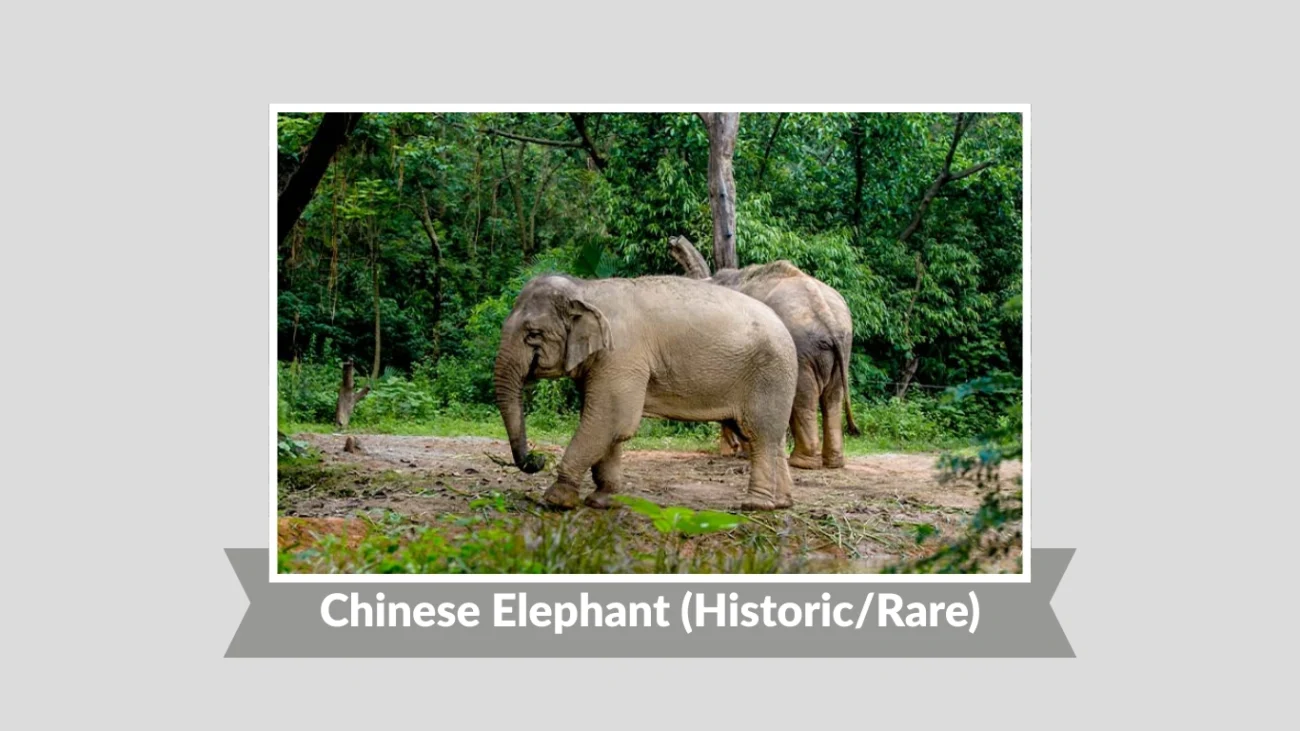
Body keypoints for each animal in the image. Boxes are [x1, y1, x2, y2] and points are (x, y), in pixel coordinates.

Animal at [493, 272, 800, 511]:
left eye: (533, 334)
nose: (537, 459)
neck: (586, 288)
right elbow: (607, 426)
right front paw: (601, 500)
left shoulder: (621, 355)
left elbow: (611, 421)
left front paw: (556, 500)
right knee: (770, 437)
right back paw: (781, 503)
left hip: (769, 375)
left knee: (760, 435)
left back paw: (755, 505)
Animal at [668, 235, 861, 470]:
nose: (673, 241)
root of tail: (828, 317)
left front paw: (740, 451)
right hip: (843, 345)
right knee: (833, 396)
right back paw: (833, 463)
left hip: (802, 348)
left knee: (803, 397)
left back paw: (800, 462)